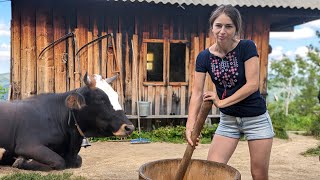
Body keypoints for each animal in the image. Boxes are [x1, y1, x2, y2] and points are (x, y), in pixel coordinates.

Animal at [0, 73, 134, 170]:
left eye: (116, 96)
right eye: (100, 99)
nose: (129, 127)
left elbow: (79, 160)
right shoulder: (27, 145)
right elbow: (59, 161)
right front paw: (20, 161)